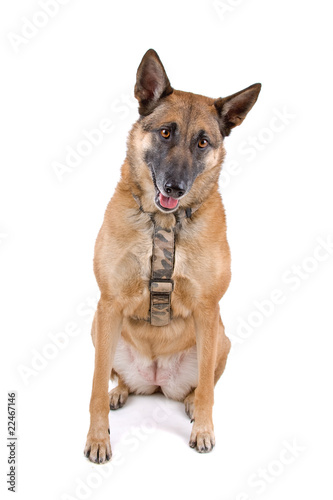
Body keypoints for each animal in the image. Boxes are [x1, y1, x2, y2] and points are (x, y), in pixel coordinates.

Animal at [83, 48, 260, 462]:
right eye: (166, 132)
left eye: (203, 142)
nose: (174, 188)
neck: (164, 223)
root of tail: (157, 380)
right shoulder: (108, 304)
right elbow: (94, 387)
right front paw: (98, 438)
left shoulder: (208, 309)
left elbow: (209, 389)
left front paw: (204, 430)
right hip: (99, 330)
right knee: (114, 377)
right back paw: (120, 392)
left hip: (220, 339)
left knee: (202, 385)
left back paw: (192, 404)